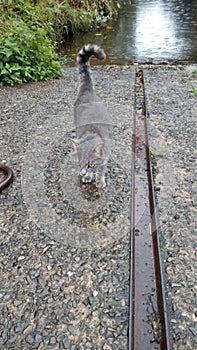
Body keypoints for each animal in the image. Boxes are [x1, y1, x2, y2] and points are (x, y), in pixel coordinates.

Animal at [70, 43, 111, 189]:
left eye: (90, 164)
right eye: (78, 163)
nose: (82, 173)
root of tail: (87, 90)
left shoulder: (105, 158)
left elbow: (101, 169)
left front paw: (99, 180)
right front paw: (87, 176)